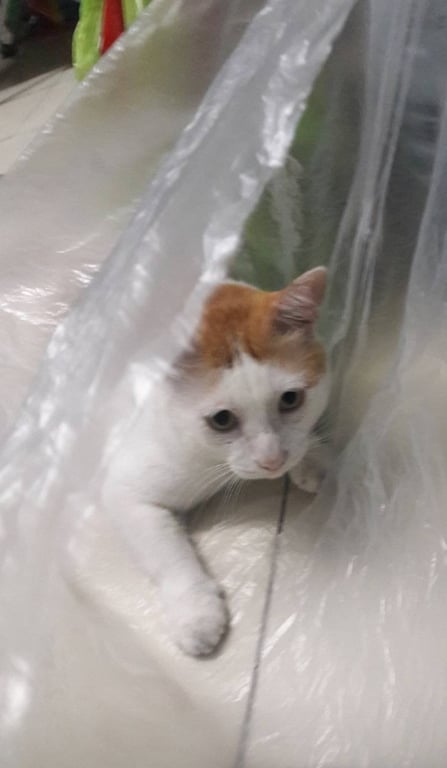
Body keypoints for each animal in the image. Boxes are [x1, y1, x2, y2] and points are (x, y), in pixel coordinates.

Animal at [103, 266, 330, 656]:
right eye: (221, 420)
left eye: (290, 399)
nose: (273, 460)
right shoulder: (126, 492)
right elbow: (168, 555)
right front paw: (195, 613)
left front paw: (311, 458)